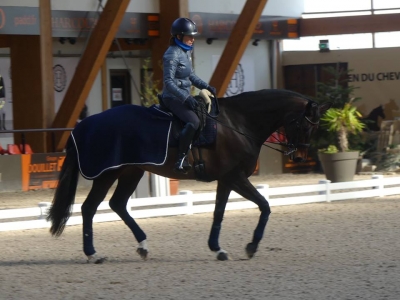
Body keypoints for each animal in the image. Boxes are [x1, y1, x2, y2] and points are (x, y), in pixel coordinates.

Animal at [47, 89, 332, 262]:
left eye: (315, 127)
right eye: (303, 124)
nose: (299, 157)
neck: (239, 124)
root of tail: (83, 125)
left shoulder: (227, 180)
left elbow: (225, 212)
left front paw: (222, 249)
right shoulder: (235, 177)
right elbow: (262, 205)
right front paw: (247, 247)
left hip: (131, 171)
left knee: (117, 204)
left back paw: (143, 246)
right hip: (108, 173)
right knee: (89, 208)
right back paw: (93, 254)